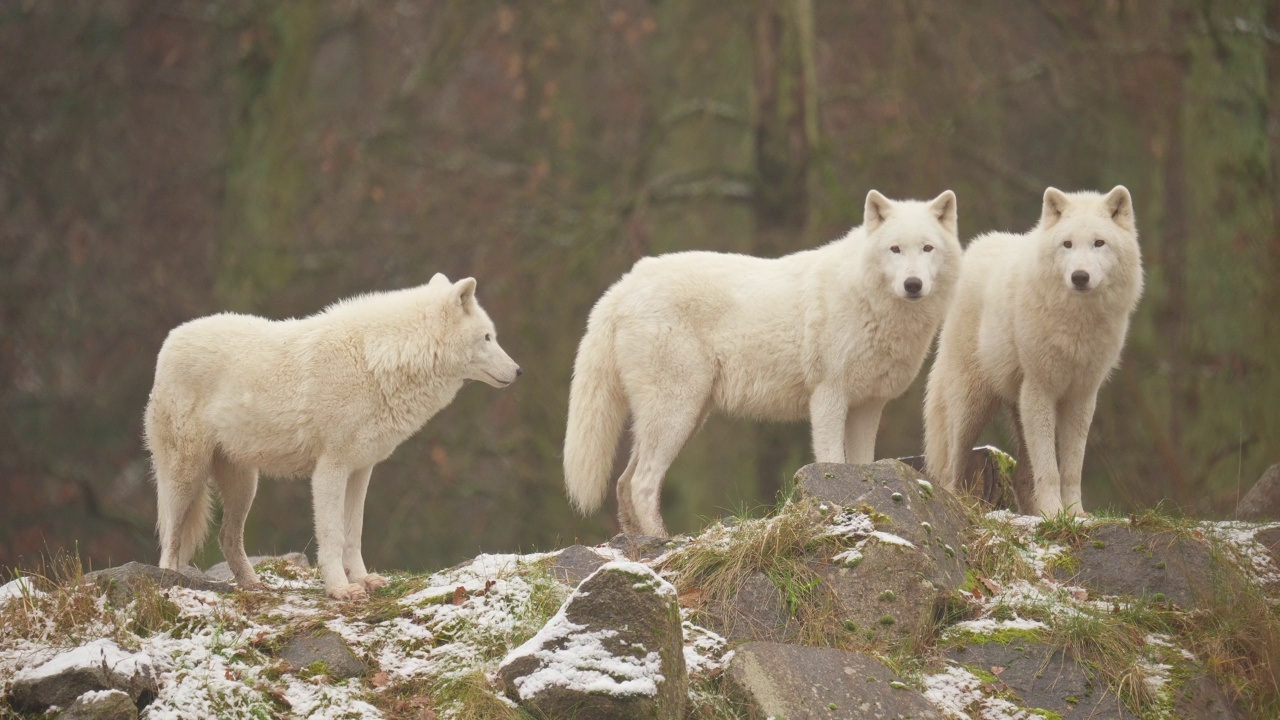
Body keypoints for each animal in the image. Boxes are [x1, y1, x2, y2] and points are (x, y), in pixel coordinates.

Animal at [149, 274, 524, 599]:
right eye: (487, 338)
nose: (519, 371)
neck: (377, 361)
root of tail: (170, 340)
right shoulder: (330, 469)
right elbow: (331, 535)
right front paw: (340, 589)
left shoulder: (361, 470)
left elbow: (352, 533)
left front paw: (363, 579)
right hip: (186, 477)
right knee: (171, 537)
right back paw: (169, 583)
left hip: (245, 484)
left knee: (227, 536)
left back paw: (253, 585)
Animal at [563, 188, 962, 535]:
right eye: (895, 249)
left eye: (927, 248)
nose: (913, 284)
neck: (870, 301)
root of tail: (622, 286)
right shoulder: (829, 396)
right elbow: (834, 461)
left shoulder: (868, 405)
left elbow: (862, 464)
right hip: (677, 413)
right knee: (641, 483)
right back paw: (664, 539)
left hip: (684, 417)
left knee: (623, 482)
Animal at [926, 181, 1146, 512]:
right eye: (1067, 244)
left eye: (1099, 243)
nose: (1079, 277)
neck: (1077, 323)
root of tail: (975, 247)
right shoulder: (1040, 389)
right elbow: (1049, 469)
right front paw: (1055, 513)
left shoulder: (1081, 397)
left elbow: (1071, 469)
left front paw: (1074, 514)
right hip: (971, 407)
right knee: (951, 469)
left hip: (1017, 408)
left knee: (1020, 477)